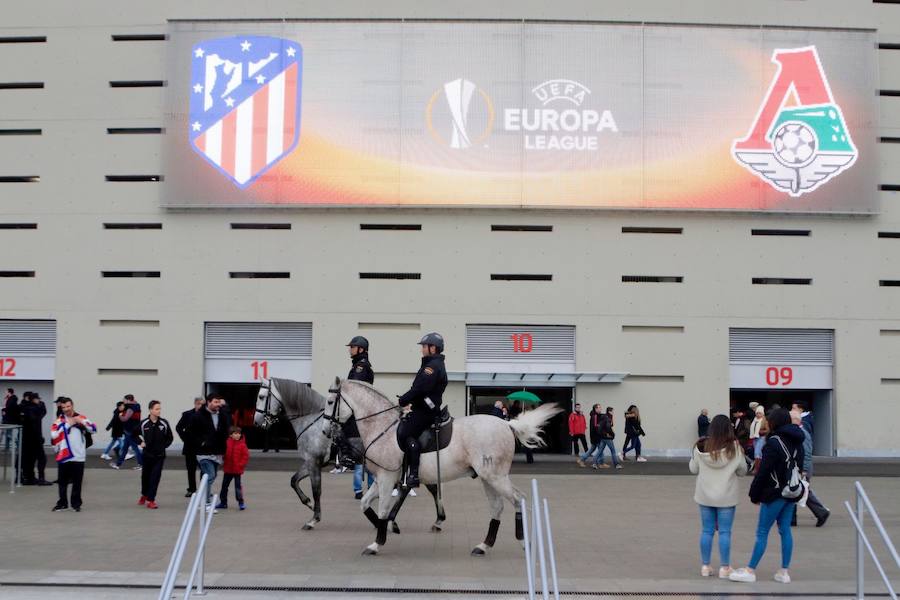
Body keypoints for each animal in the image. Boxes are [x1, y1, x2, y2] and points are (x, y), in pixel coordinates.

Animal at [326, 378, 560, 556]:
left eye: (329, 401)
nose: (327, 431)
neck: (383, 428)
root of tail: (507, 423)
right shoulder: (385, 479)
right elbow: (365, 503)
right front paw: (384, 528)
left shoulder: (387, 478)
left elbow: (383, 508)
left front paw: (378, 541)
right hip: (488, 478)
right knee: (497, 507)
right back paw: (483, 545)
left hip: (496, 477)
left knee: (518, 499)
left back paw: (524, 543)